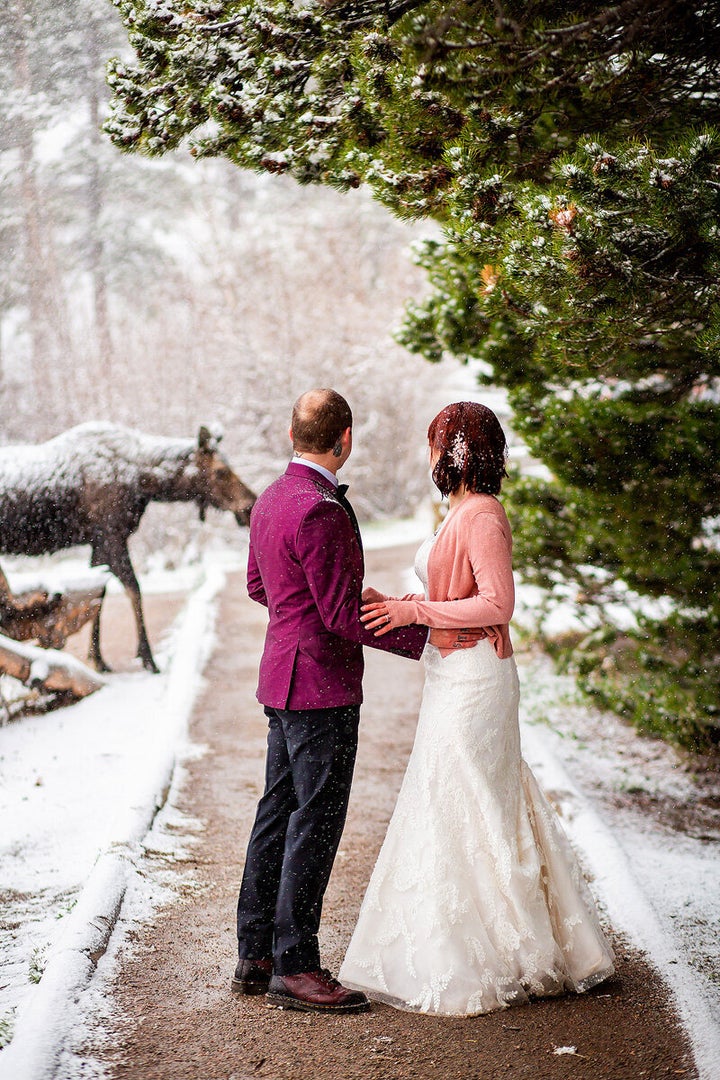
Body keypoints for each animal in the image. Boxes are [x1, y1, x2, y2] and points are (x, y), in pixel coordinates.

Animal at [0, 425, 255, 669]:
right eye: (221, 471)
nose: (250, 505)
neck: (146, 482)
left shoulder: (99, 543)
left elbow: (99, 595)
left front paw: (97, 658)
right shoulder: (113, 537)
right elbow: (133, 590)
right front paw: (147, 658)